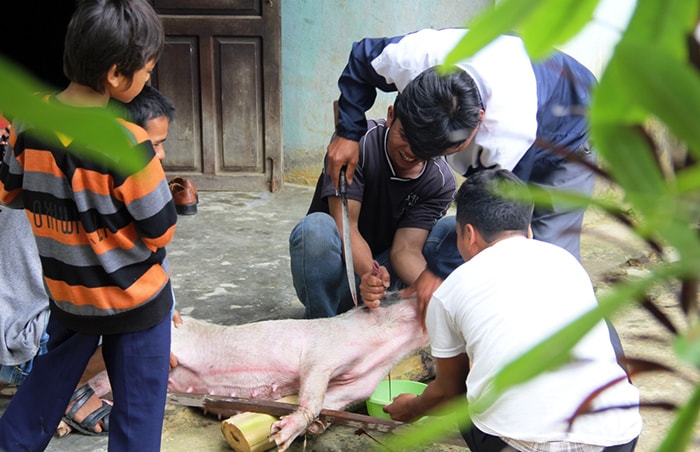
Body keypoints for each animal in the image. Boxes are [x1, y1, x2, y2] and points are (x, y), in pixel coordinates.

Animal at [85, 296, 430, 452]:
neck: (379, 348)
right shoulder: (323, 354)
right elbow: (312, 394)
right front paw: (279, 437)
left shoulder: (357, 385)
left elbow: (327, 402)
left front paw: (315, 427)